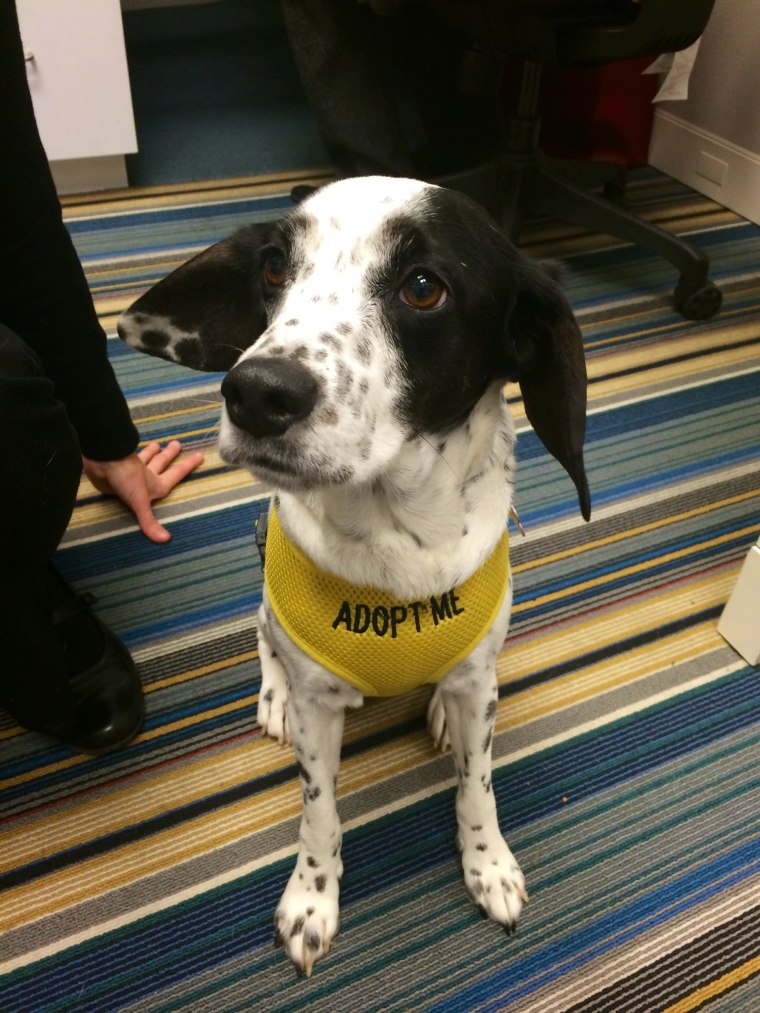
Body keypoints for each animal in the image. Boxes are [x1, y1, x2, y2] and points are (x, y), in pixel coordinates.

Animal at [120, 178, 595, 976]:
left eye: (424, 286)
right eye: (275, 265)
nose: (255, 391)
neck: (394, 542)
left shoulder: (480, 685)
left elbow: (478, 786)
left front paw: (488, 864)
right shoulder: (321, 710)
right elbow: (319, 811)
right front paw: (312, 899)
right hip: (264, 580)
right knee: (262, 633)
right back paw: (273, 692)